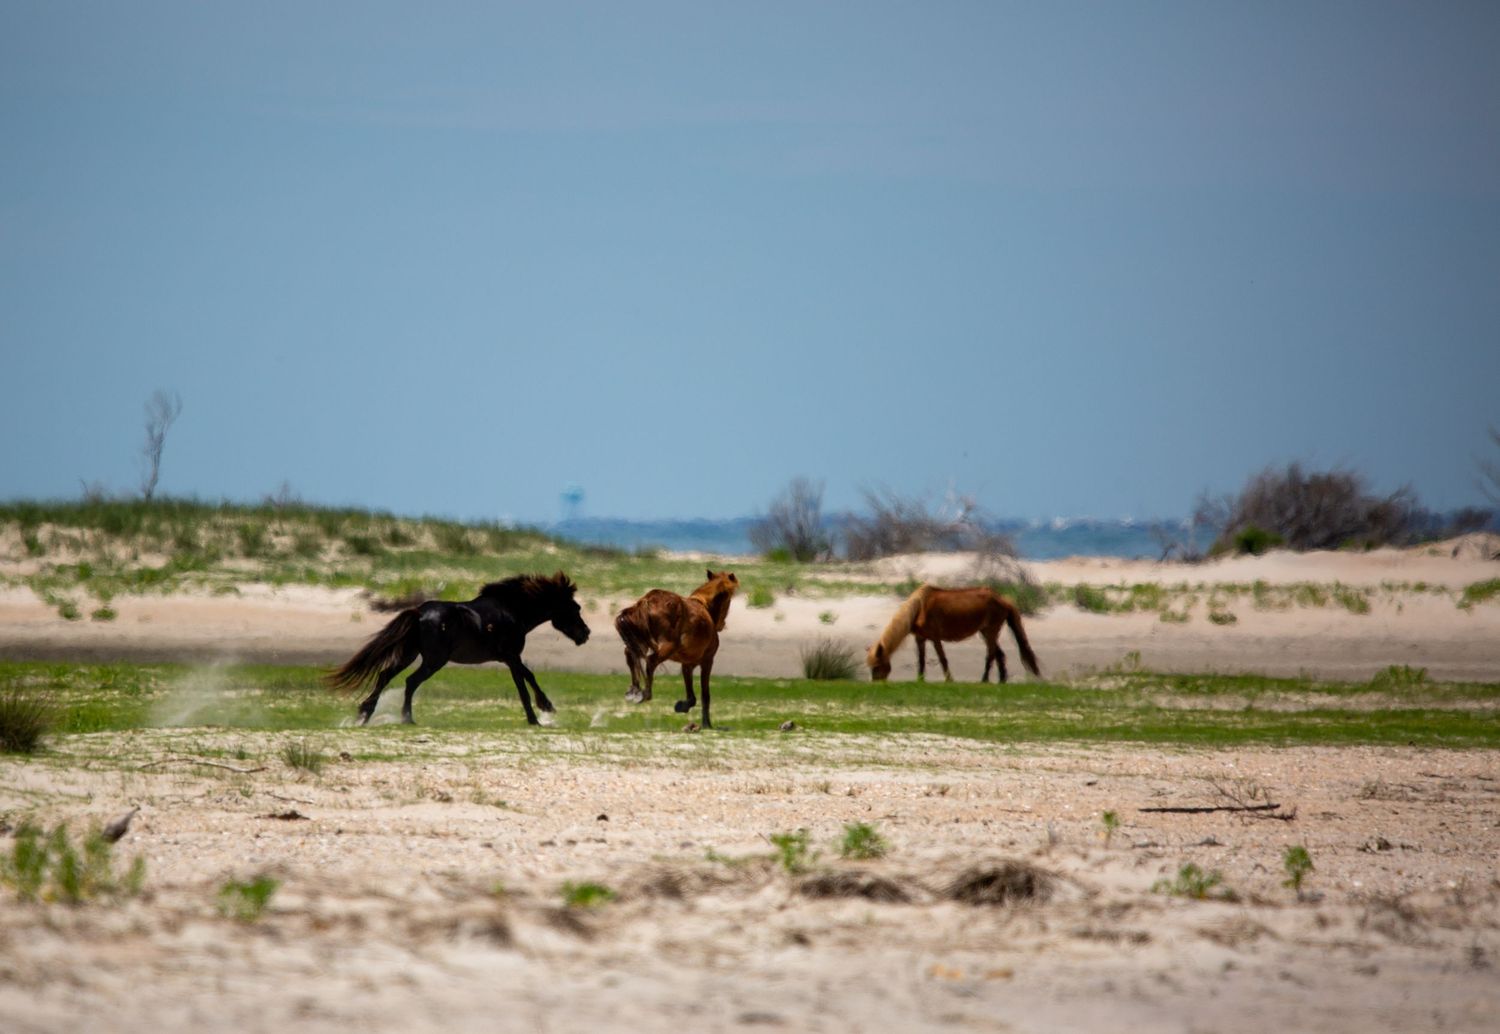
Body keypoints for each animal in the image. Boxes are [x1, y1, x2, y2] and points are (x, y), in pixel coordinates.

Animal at [325, 571, 590, 726]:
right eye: (575, 608)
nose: (585, 634)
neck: (512, 611)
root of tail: (419, 613)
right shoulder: (511, 655)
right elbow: (526, 682)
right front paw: (541, 712)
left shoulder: (508, 658)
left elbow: (524, 681)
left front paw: (540, 712)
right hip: (434, 660)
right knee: (410, 681)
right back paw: (406, 719)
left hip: (411, 654)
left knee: (386, 676)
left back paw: (366, 714)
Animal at [615, 569, 739, 728]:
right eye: (728, 599)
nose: (722, 625)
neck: (705, 608)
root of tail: (647, 601)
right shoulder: (707, 661)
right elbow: (705, 695)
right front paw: (707, 724)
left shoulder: (687, 664)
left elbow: (691, 696)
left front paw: (682, 706)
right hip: (667, 647)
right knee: (650, 661)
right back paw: (645, 693)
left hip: (640, 643)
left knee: (630, 656)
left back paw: (634, 690)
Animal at [867, 584, 1040, 683]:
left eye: (877, 666)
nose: (876, 683)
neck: (919, 608)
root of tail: (1003, 600)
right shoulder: (920, 639)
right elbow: (921, 661)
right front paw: (920, 679)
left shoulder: (935, 638)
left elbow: (943, 659)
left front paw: (949, 679)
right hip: (985, 632)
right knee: (999, 654)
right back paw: (1002, 680)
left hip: (991, 631)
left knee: (990, 654)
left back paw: (984, 680)